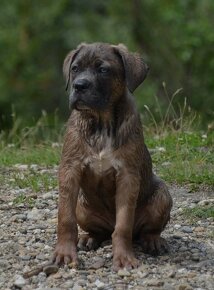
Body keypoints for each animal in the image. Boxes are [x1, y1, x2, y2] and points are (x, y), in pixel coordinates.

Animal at [52, 42, 173, 270]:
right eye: (75, 69)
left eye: (103, 70)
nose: (79, 86)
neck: (101, 122)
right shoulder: (70, 170)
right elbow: (65, 218)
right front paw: (64, 253)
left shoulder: (127, 176)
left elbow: (123, 224)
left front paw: (124, 257)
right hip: (82, 206)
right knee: (100, 231)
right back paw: (88, 238)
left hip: (162, 196)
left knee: (144, 230)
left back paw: (153, 241)